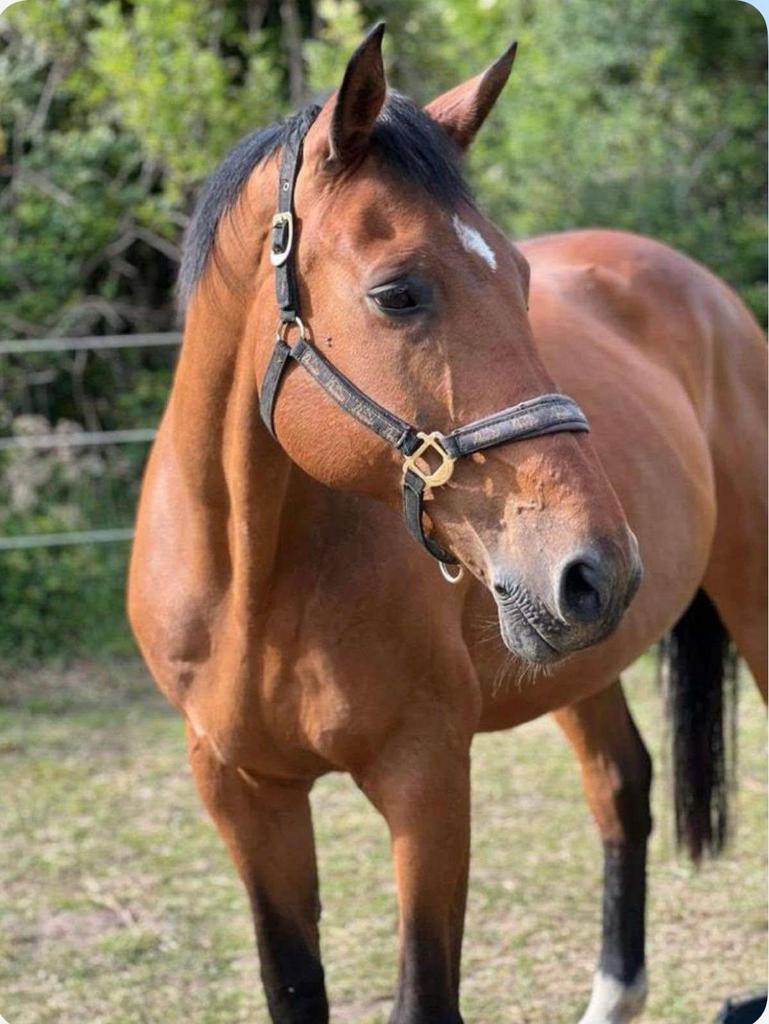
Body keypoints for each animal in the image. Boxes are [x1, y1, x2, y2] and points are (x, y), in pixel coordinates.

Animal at [128, 24, 767, 1024]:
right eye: (397, 292)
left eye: (521, 276)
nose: (600, 567)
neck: (252, 582)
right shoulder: (244, 797)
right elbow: (292, 989)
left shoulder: (426, 782)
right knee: (621, 786)